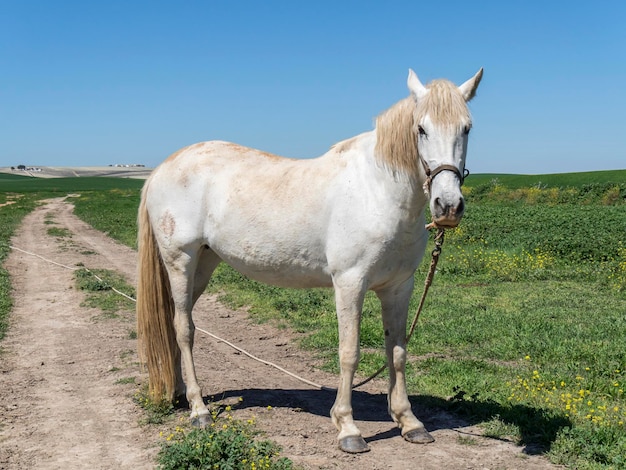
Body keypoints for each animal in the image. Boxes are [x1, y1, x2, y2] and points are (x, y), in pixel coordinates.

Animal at [136, 68, 482, 454]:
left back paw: (181, 394)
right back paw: (198, 410)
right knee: (184, 329)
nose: (448, 206)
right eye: (421, 129)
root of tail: (162, 168)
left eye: (467, 128)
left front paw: (409, 421)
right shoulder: (350, 283)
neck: (378, 191)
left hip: (204, 264)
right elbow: (349, 352)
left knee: (174, 322)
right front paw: (347, 428)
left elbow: (397, 351)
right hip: (180, 260)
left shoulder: (399, 288)